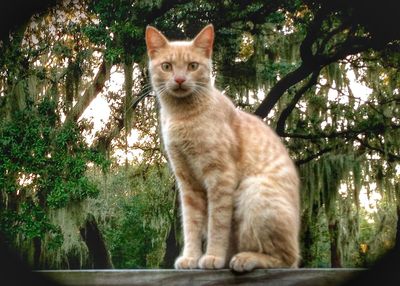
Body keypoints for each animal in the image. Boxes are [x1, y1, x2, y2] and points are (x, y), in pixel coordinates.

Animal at [145, 24, 300, 270]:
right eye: (167, 66)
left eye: (192, 66)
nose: (179, 79)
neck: (182, 117)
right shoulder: (187, 183)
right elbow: (191, 225)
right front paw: (191, 257)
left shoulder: (220, 176)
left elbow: (217, 224)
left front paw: (213, 256)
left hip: (254, 190)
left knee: (287, 258)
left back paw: (245, 258)